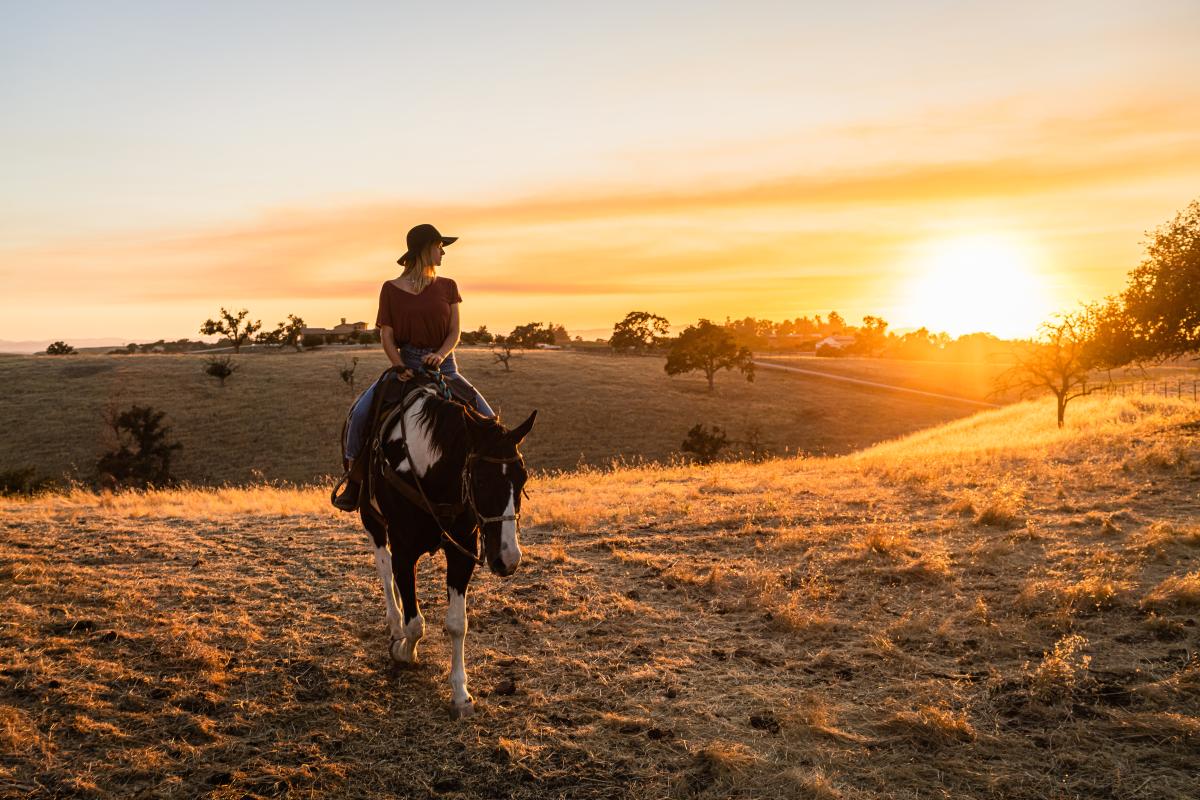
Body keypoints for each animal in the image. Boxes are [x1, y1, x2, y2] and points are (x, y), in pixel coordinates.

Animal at [350, 379, 532, 724]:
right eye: (480, 480)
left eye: (523, 477)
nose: (508, 559)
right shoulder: (405, 550)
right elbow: (415, 623)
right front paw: (403, 651)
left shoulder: (462, 552)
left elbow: (457, 623)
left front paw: (461, 694)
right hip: (372, 519)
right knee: (384, 568)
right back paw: (394, 622)